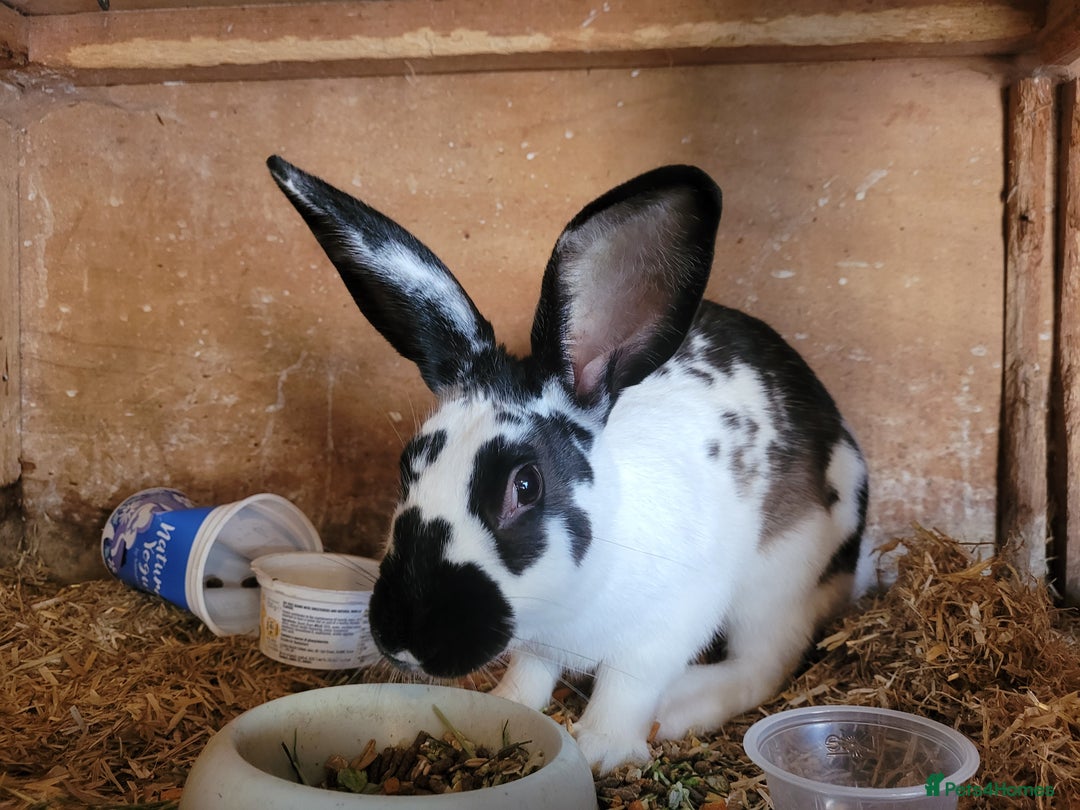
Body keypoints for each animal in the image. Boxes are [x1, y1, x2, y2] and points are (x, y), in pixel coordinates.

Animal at [267, 155, 869, 774]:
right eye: (407, 466)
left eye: (525, 486)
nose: (405, 637)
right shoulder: (539, 645)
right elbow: (531, 674)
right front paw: (509, 710)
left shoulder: (664, 627)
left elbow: (627, 688)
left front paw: (602, 751)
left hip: (776, 586)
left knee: (763, 665)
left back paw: (681, 707)